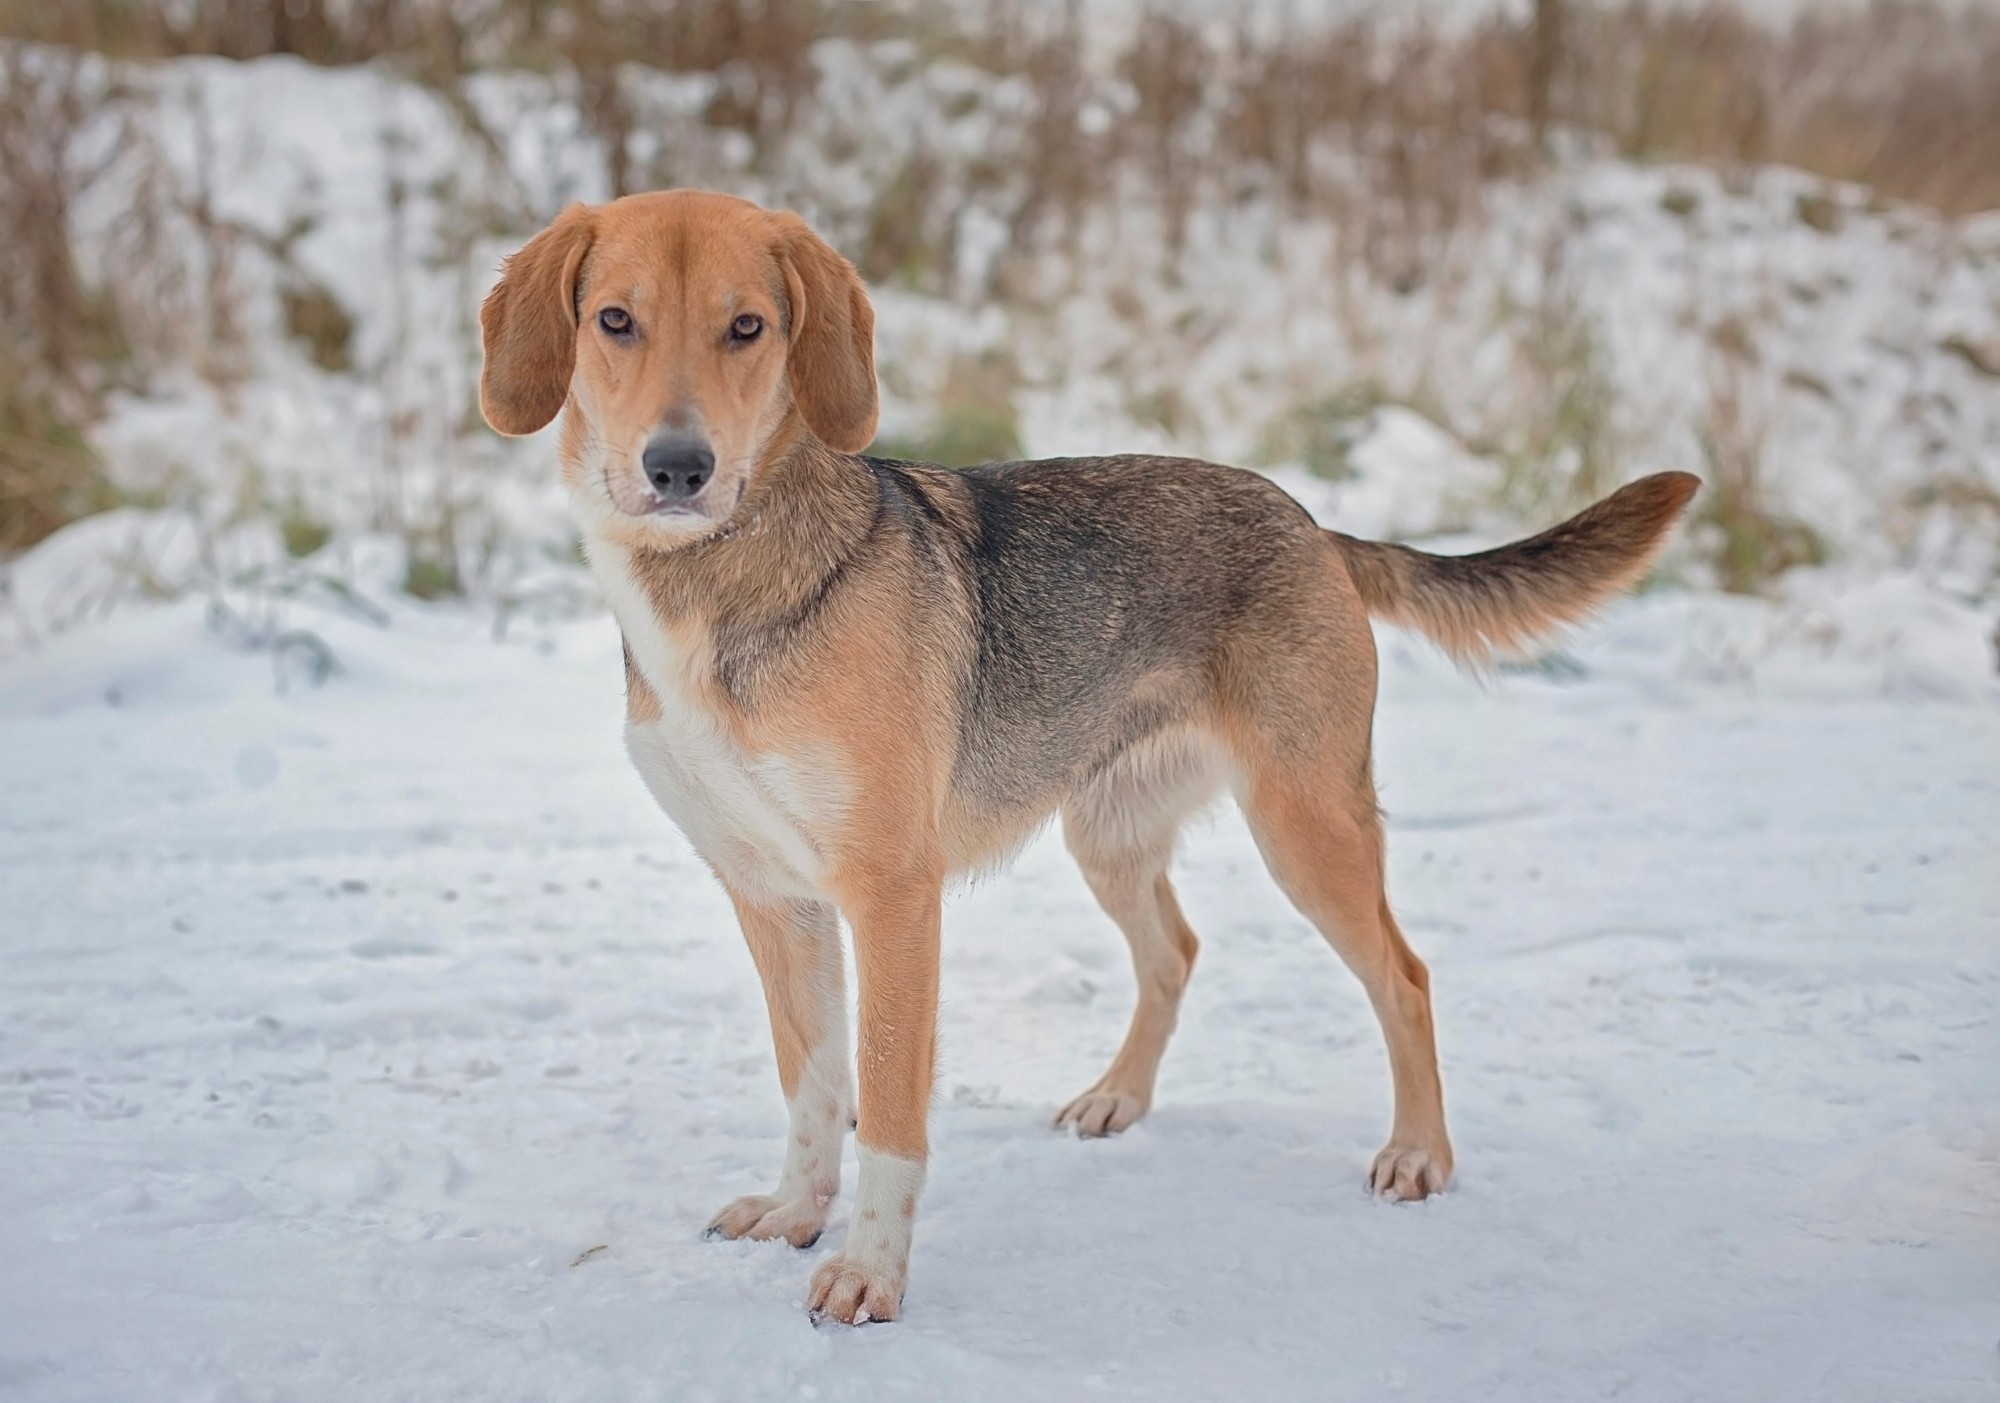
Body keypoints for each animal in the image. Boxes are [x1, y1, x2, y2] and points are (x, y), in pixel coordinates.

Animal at [476, 189, 1696, 1327]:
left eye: (748, 327)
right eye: (615, 320)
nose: (677, 467)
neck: (723, 587)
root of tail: (1309, 522)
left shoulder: (891, 895)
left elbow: (891, 1111)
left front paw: (870, 1271)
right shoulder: (774, 899)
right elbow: (812, 1086)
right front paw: (794, 1211)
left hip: (1306, 827)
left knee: (1404, 976)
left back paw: (1418, 1154)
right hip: (1104, 833)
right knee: (1175, 952)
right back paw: (1118, 1098)